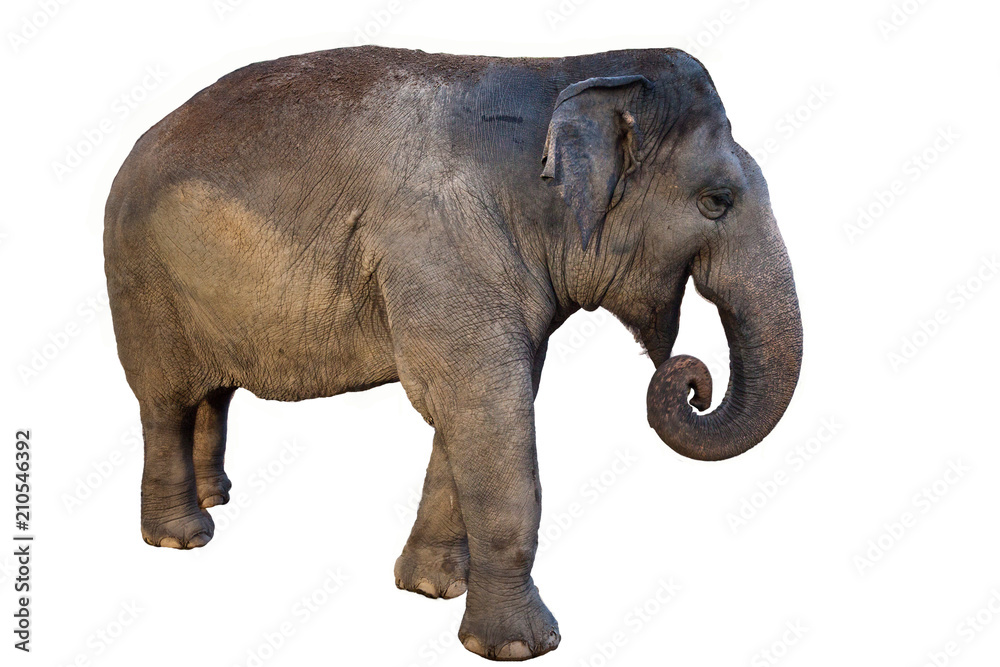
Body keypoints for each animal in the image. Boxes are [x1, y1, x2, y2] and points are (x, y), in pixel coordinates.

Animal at [104, 45, 802, 661]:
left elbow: (474, 409)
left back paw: (215, 497)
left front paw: (432, 588)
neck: (569, 74)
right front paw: (521, 647)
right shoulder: (444, 247)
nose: (690, 380)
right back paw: (182, 538)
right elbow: (487, 404)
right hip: (140, 280)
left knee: (211, 393)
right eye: (716, 201)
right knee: (164, 400)